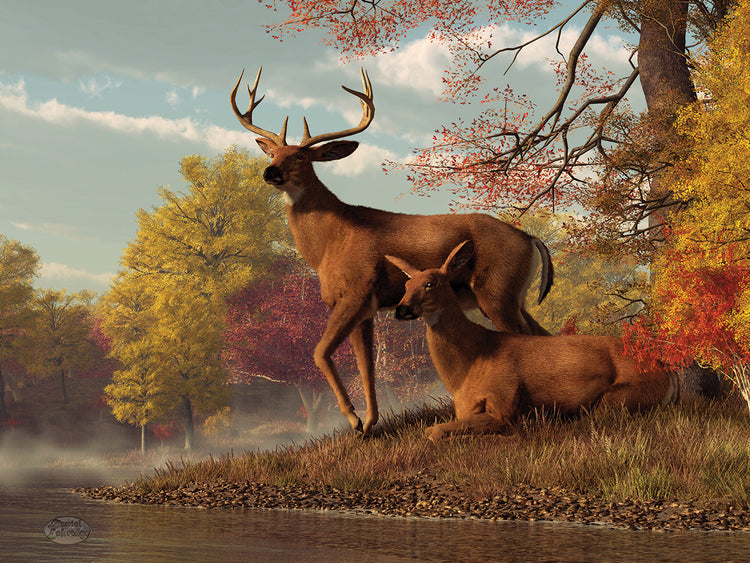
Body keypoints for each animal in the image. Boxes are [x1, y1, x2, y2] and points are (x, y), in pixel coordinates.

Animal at [231, 67, 554, 436]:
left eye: (299, 155)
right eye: (272, 154)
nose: (270, 171)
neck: (329, 243)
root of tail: (530, 238)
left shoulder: (356, 292)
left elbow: (319, 353)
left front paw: (353, 419)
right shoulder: (365, 308)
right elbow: (366, 366)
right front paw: (369, 424)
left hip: (496, 291)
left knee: (524, 337)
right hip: (513, 295)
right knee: (542, 334)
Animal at [386, 240, 679, 441]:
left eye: (430, 283)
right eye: (406, 286)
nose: (401, 309)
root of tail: (667, 371)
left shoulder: (504, 403)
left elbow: (433, 430)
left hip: (617, 400)